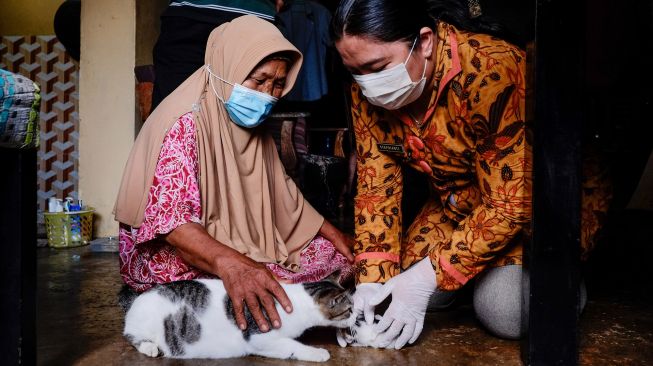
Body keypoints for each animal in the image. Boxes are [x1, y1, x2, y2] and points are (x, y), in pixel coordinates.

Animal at [117, 274, 352, 362]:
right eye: (349, 310)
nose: (355, 317)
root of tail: (138, 298)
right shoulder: (259, 337)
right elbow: (292, 345)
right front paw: (318, 352)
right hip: (145, 324)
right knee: (132, 336)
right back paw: (150, 347)